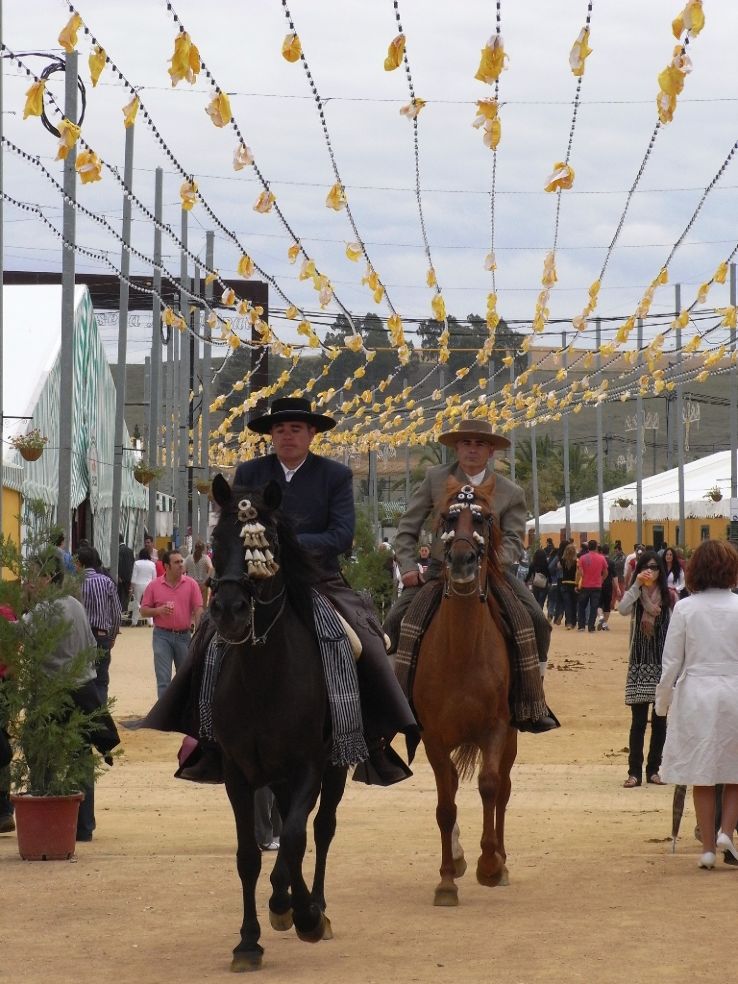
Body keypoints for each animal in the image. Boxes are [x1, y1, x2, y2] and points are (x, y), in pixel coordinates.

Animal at [206, 476, 346, 968]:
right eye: (215, 540)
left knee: (320, 828)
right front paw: (249, 940)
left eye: (267, 547)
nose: (229, 610)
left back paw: (315, 906)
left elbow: (295, 838)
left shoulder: (308, 766)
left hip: (334, 768)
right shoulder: (237, 772)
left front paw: (302, 913)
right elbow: (250, 855)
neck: (263, 678)